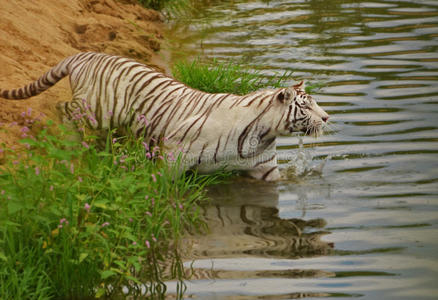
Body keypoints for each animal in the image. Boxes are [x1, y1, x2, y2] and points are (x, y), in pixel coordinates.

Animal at [0, 51, 328, 180]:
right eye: (307, 106)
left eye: (316, 105)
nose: (326, 118)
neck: (264, 134)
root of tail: (84, 54)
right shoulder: (175, 153)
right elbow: (164, 185)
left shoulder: (265, 170)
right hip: (95, 108)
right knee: (63, 110)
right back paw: (72, 142)